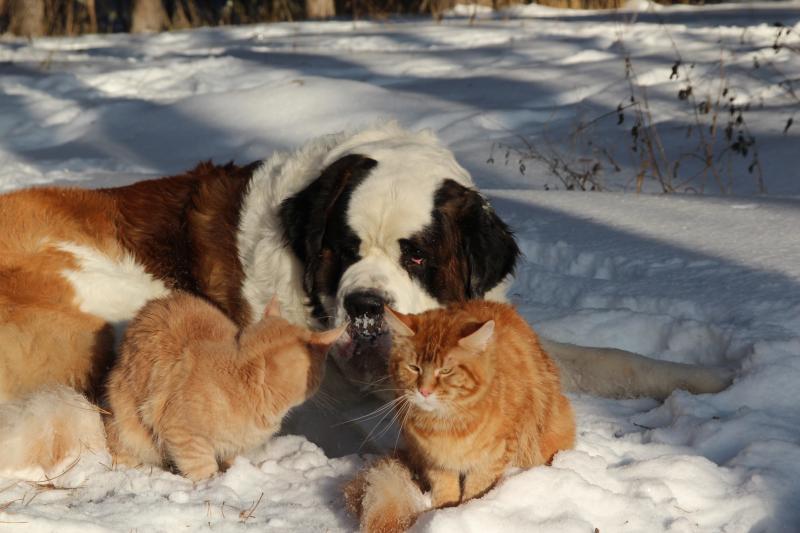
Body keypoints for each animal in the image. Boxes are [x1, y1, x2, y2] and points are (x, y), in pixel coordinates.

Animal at [345, 300, 575, 531]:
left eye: (445, 371)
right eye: (414, 368)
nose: (424, 391)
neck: (446, 423)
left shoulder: (494, 456)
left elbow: (476, 489)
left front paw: (466, 511)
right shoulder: (434, 459)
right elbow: (445, 489)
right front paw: (443, 513)